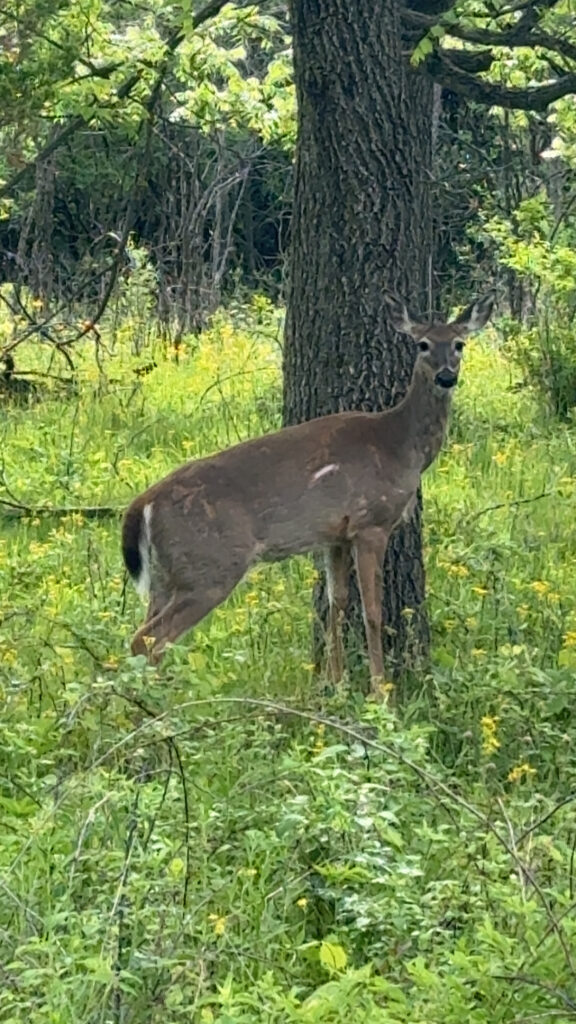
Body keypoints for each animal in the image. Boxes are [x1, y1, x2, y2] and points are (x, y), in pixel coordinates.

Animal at [121, 290, 495, 693]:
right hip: (209, 567)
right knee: (148, 639)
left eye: (459, 343)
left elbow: (337, 603)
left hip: (166, 575)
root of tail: (144, 504)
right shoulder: (371, 522)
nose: (446, 376)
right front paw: (380, 689)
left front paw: (336, 683)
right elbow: (373, 611)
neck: (399, 446)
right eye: (423, 344)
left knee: (141, 633)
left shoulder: (335, 535)